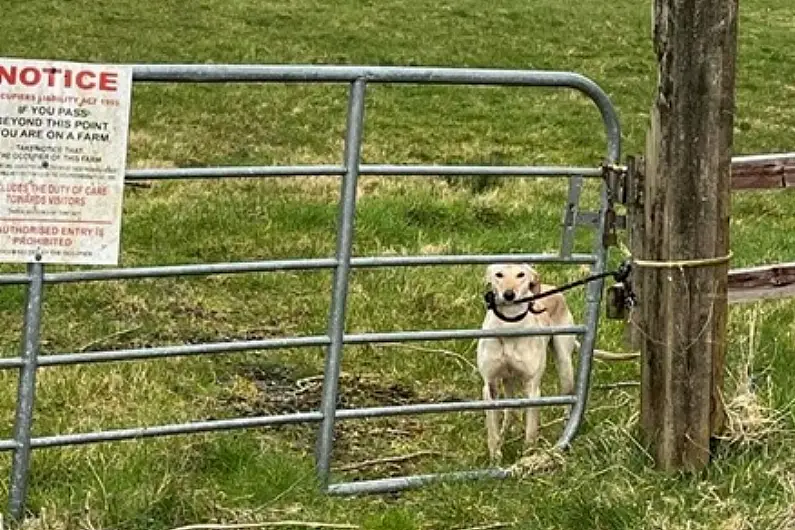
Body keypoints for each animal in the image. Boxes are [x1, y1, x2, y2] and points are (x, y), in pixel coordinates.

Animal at [476, 262, 576, 460]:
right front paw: (496, 456)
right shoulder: (490, 385)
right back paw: (506, 432)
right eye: (498, 274)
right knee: (510, 411)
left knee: (568, 398)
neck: (509, 325)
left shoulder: (532, 388)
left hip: (564, 365)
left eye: (521, 274)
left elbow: (531, 430)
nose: (509, 294)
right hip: (509, 381)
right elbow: (492, 429)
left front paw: (527, 457)